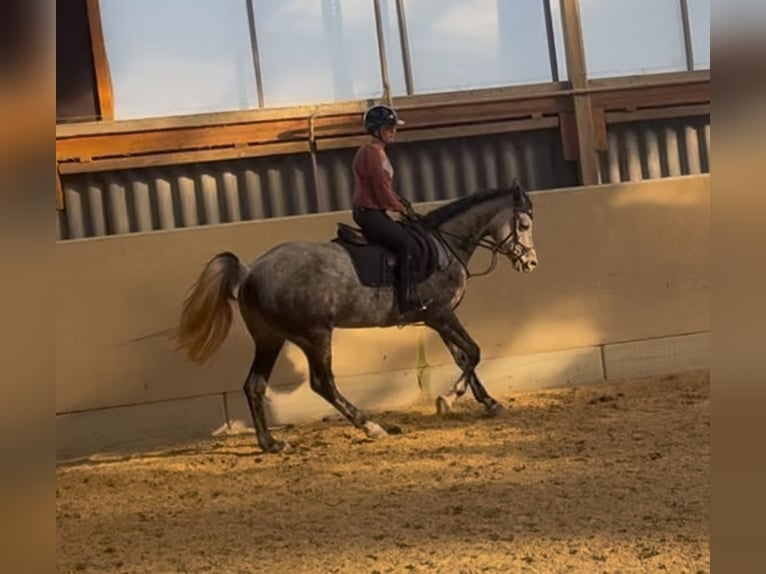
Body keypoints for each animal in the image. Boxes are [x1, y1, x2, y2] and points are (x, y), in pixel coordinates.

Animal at [178, 184, 540, 454]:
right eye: (524, 225)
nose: (531, 263)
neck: (446, 243)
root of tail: (251, 270)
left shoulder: (439, 319)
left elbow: (464, 357)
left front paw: (488, 402)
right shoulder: (441, 314)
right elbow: (474, 352)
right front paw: (448, 399)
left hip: (270, 338)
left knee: (255, 385)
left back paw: (271, 444)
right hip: (315, 336)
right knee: (322, 383)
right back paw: (370, 426)